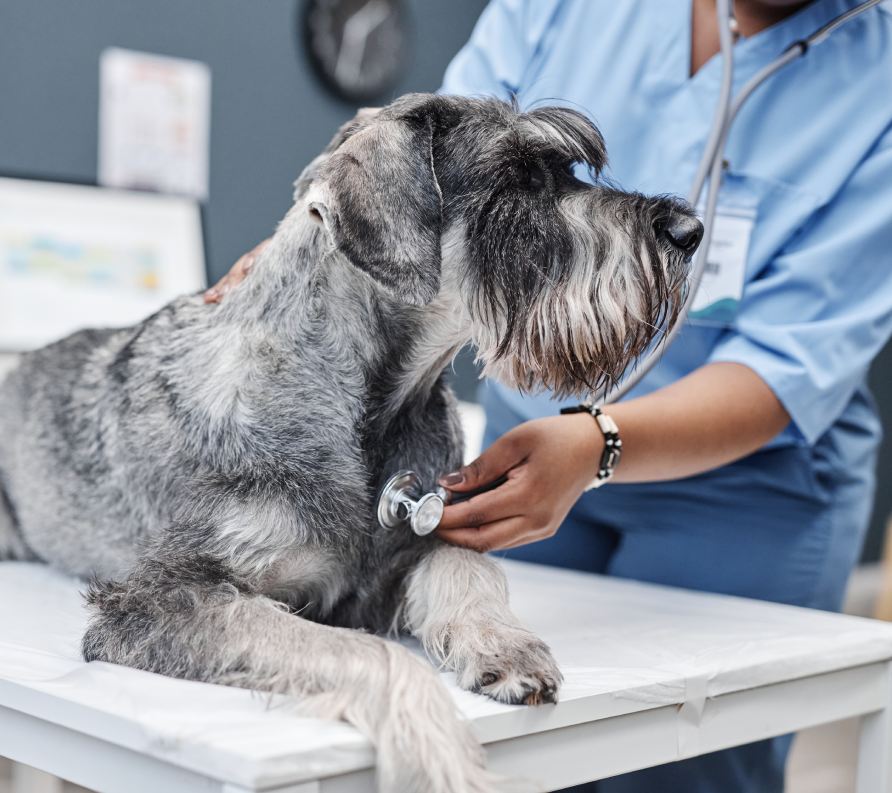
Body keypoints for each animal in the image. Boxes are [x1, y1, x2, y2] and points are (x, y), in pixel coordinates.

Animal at [0, 94, 696, 792]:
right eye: (519, 179)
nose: (689, 231)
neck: (375, 409)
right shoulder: (167, 598)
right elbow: (364, 653)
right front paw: (441, 752)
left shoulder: (412, 545)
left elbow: (465, 567)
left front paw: (502, 644)